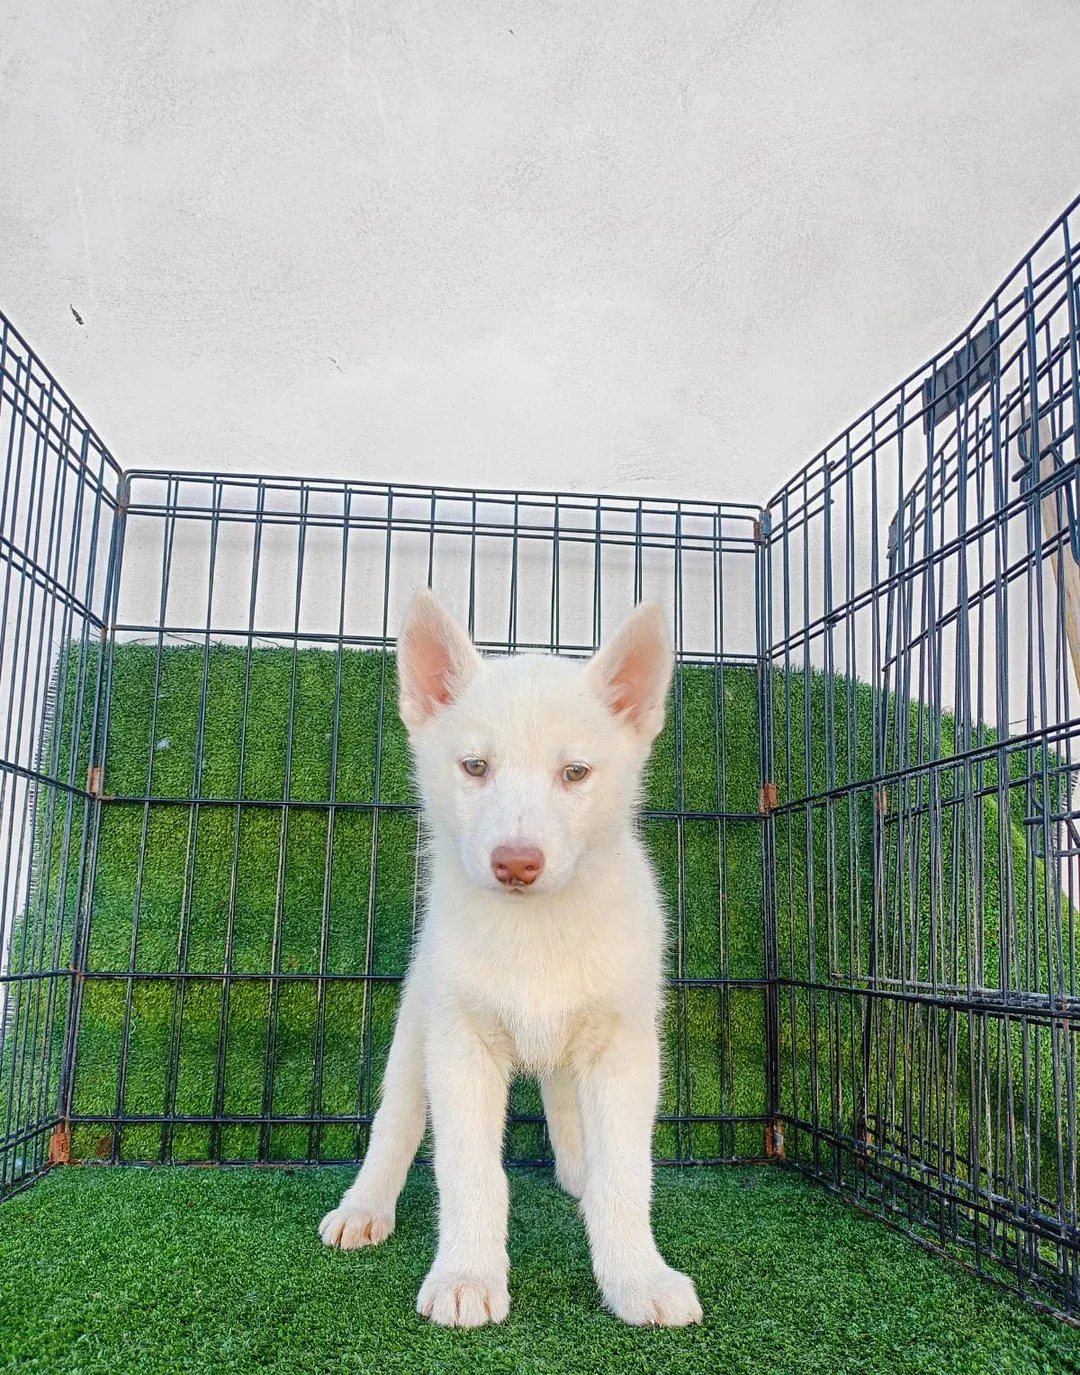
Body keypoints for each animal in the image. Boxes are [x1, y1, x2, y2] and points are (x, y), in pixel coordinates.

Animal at [319, 589, 702, 1329]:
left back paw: (578, 1174)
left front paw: (637, 1276)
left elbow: (624, 1176)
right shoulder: (460, 1047)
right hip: (417, 1029)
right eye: (475, 767)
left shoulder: (624, 1049)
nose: (516, 863)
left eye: (574, 772)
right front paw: (466, 1273)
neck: (535, 930)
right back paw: (365, 1204)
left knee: (566, 1105)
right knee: (396, 1120)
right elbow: (470, 1173)